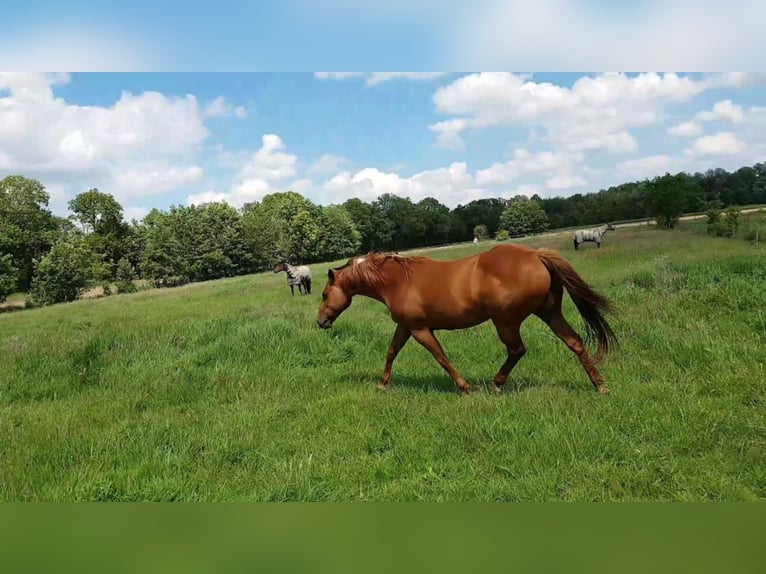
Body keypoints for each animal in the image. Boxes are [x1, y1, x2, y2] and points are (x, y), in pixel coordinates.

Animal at [316, 245, 620, 398]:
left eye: (324, 294)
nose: (320, 322)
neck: (397, 280)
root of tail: (535, 255)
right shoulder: (405, 326)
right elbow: (391, 352)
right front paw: (382, 384)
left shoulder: (419, 329)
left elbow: (441, 357)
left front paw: (464, 388)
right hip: (550, 313)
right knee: (575, 342)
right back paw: (600, 386)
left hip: (506, 322)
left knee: (517, 350)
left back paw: (496, 385)